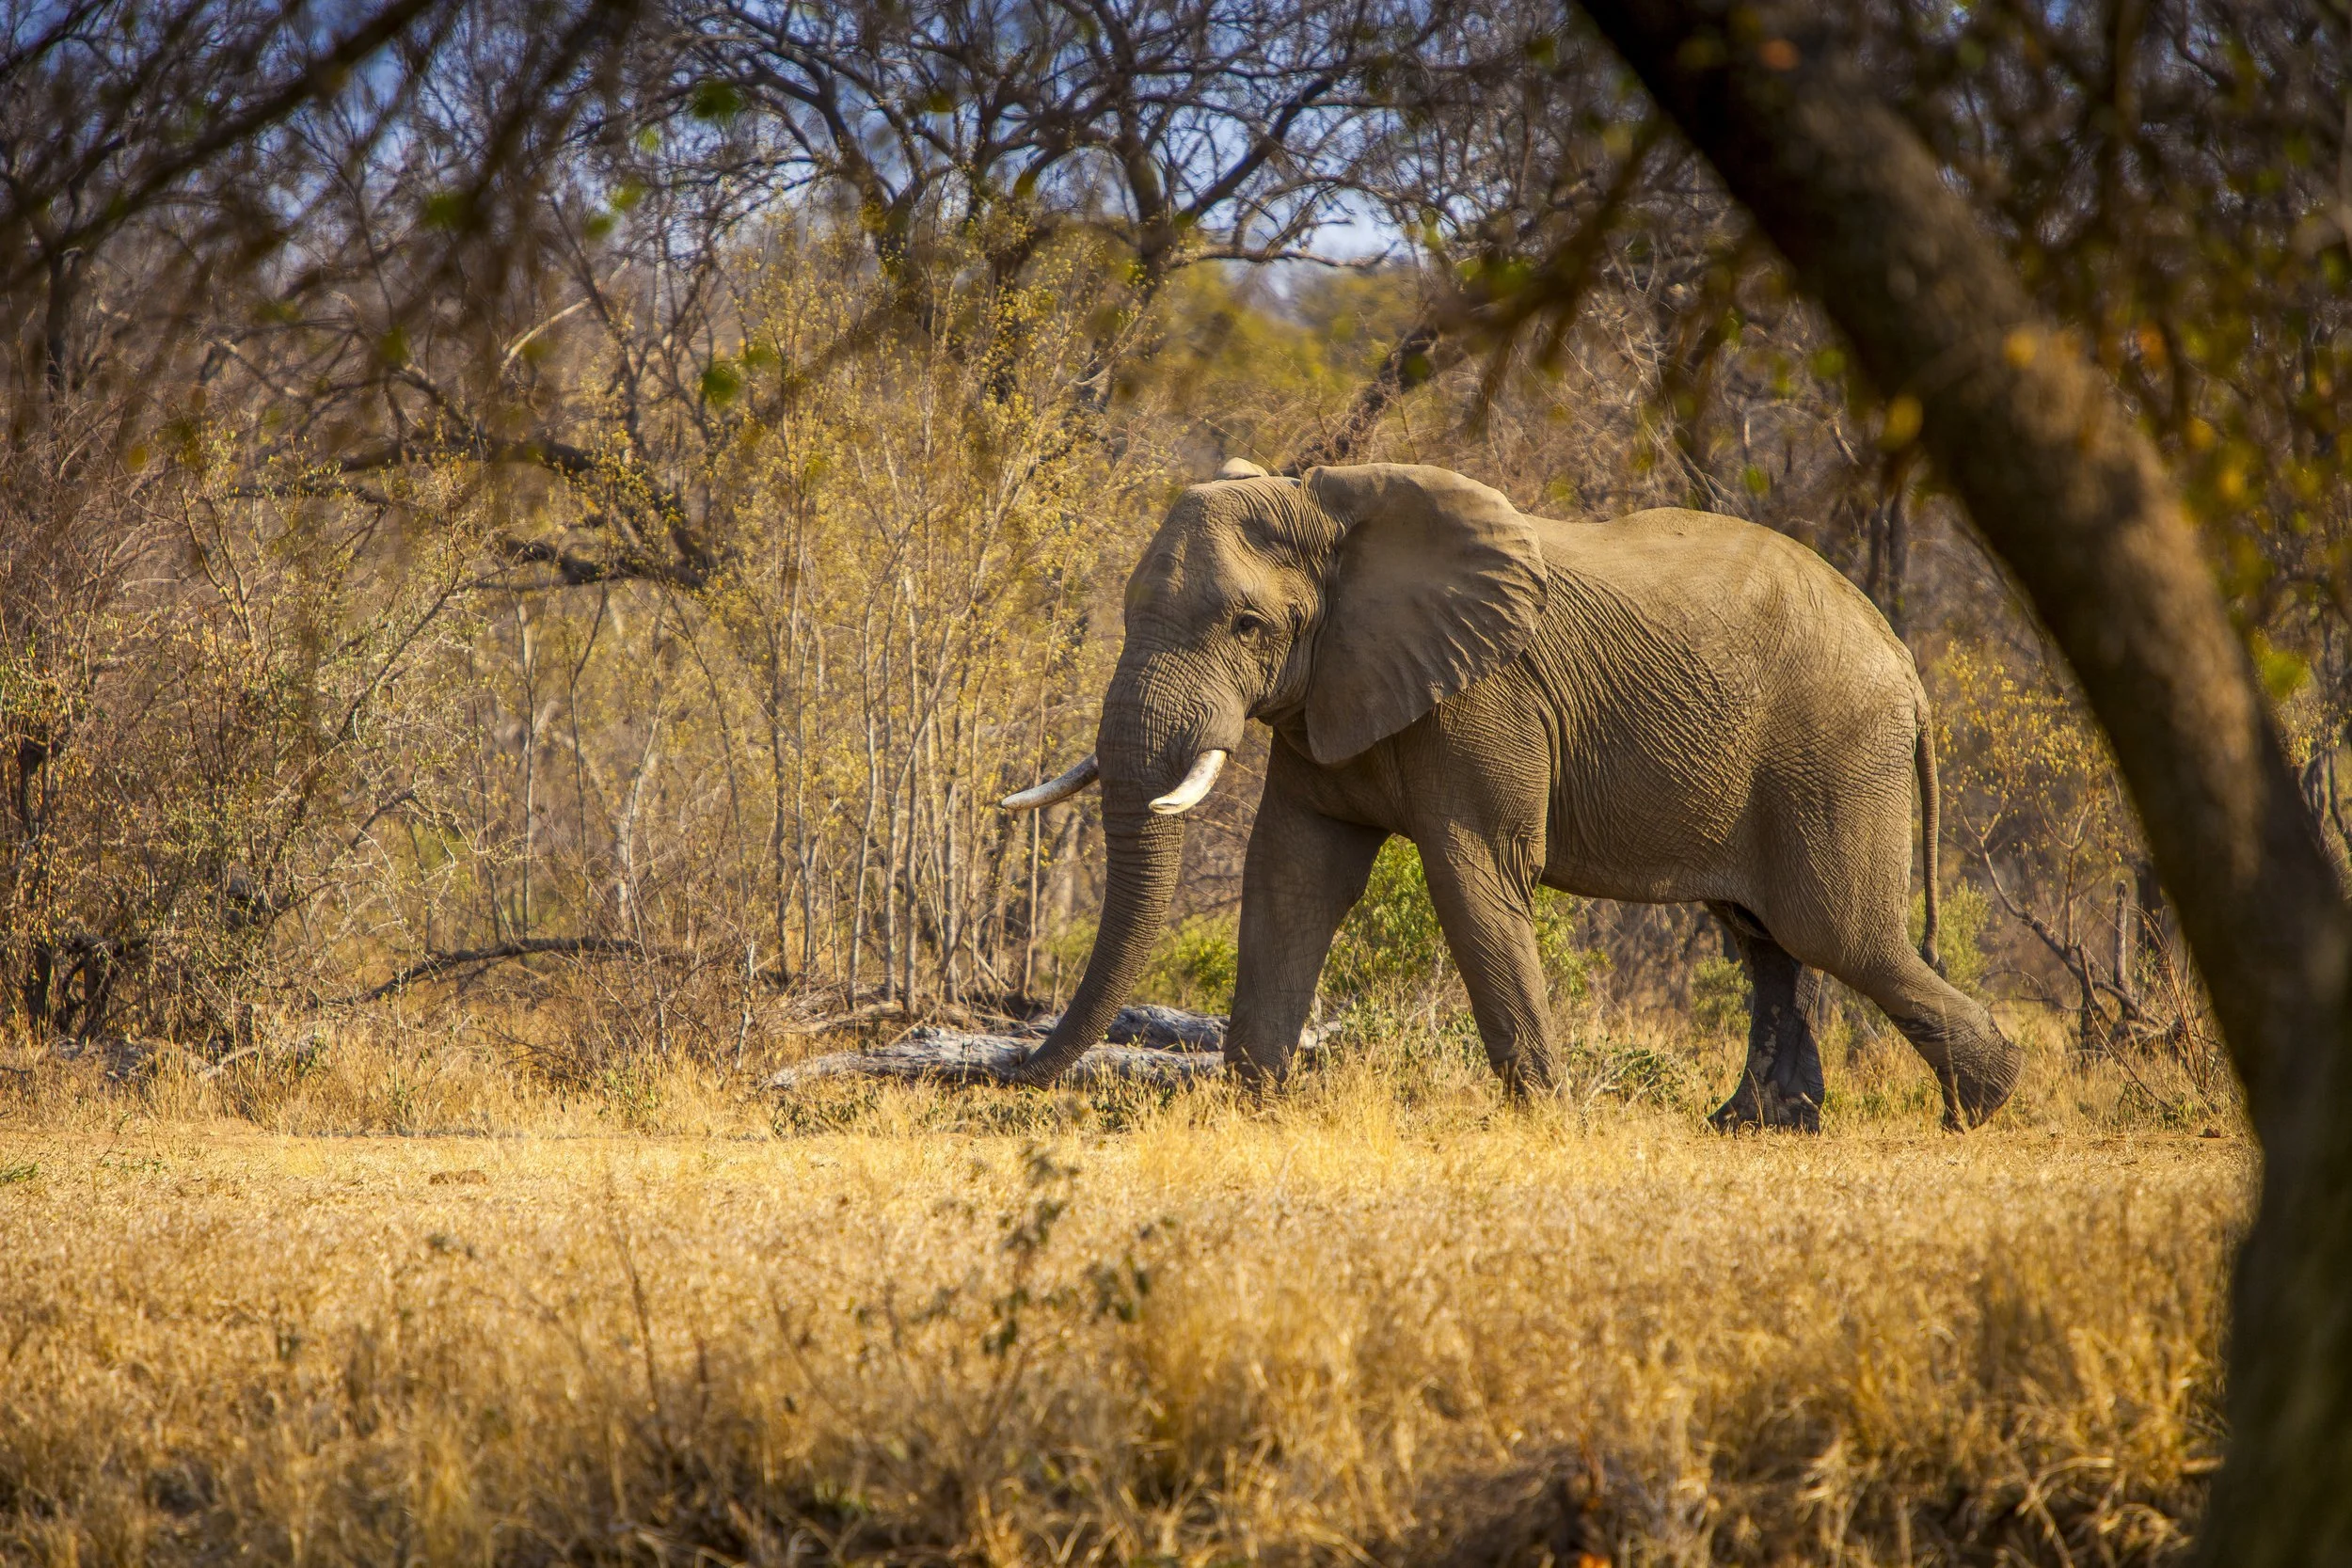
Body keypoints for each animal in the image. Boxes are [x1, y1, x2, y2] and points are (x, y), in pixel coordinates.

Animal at [1000, 460, 2021, 1130]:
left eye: (1246, 625)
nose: (1009, 1070)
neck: (1337, 515)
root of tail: (1905, 662)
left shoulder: (1485, 697)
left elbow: (1472, 876)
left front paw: (1545, 1119)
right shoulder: (1333, 685)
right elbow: (1294, 872)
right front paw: (1251, 1108)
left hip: (1834, 753)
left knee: (1836, 932)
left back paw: (1980, 1103)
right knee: (1765, 941)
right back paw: (1753, 1125)